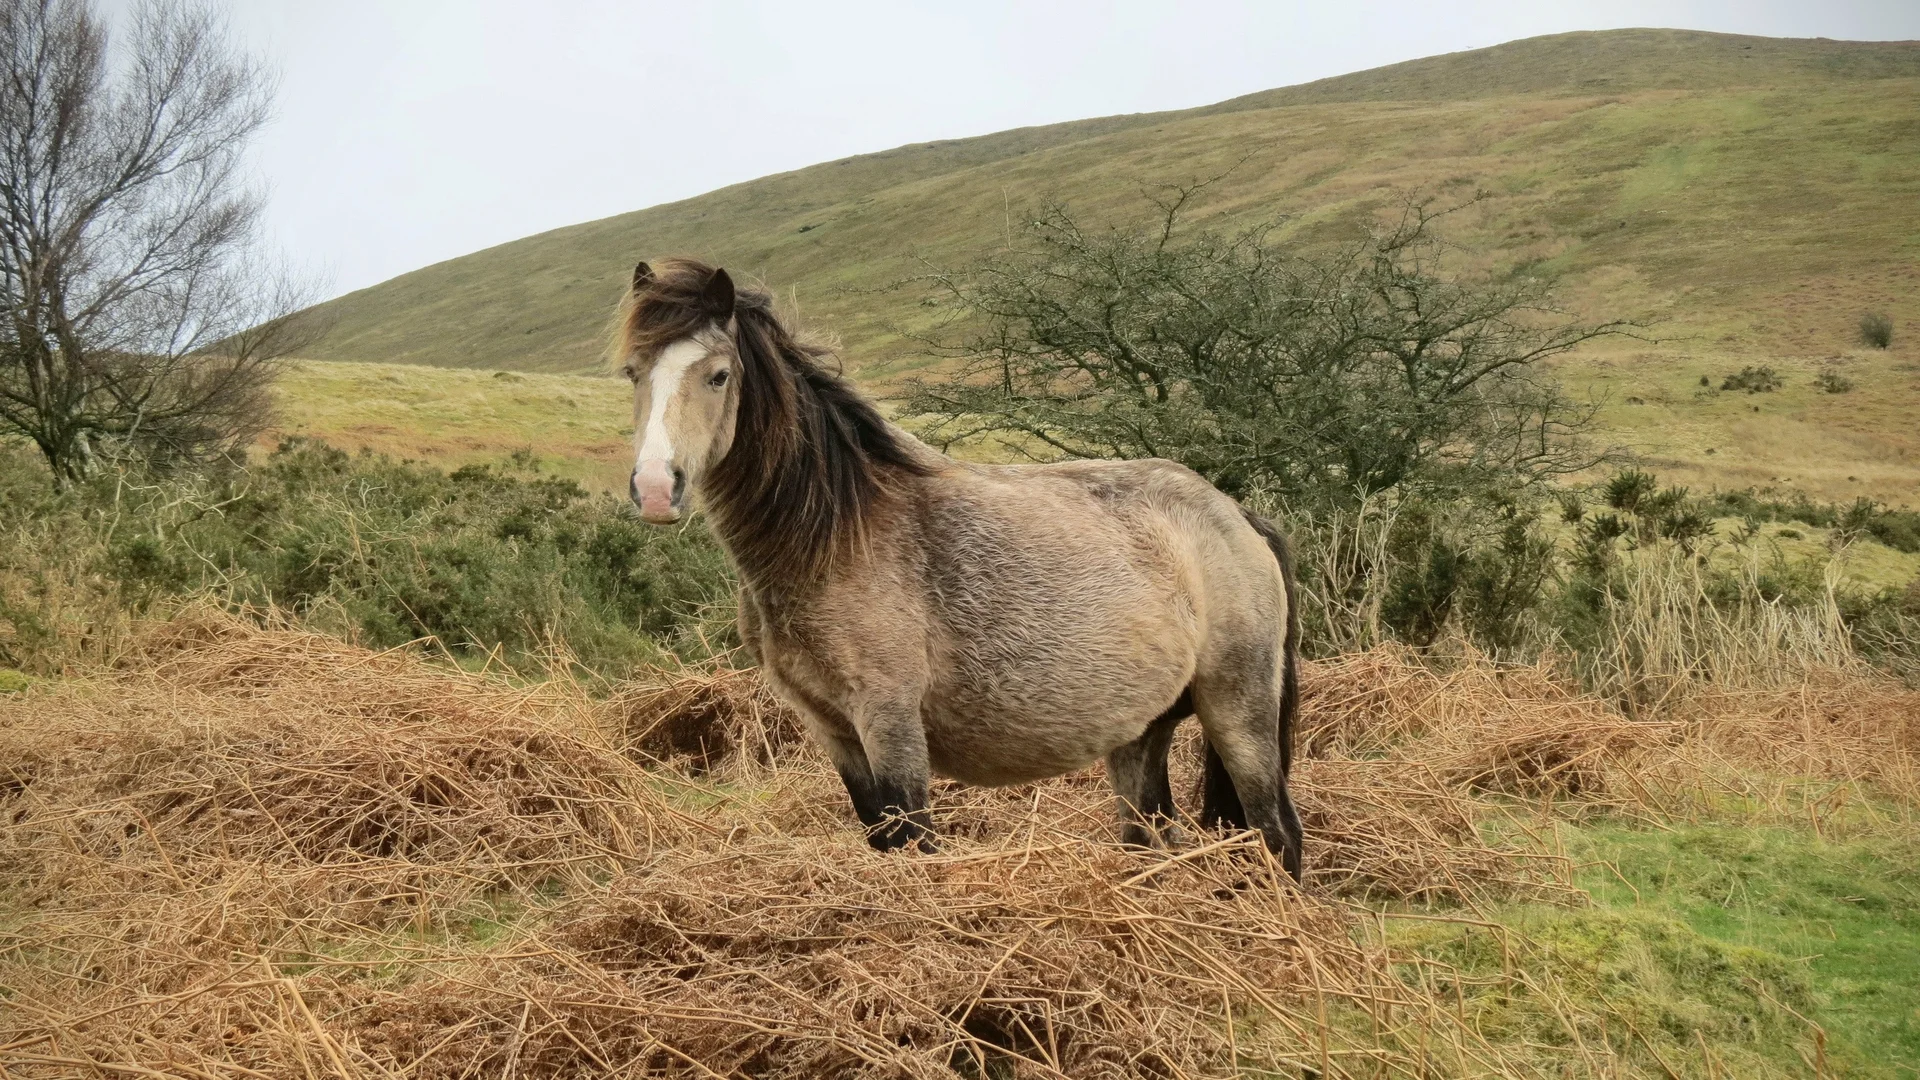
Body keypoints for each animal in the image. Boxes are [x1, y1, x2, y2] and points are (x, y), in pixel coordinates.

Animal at [614, 258, 1307, 879]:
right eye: (633, 374)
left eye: (718, 375)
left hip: (1237, 710)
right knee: (1152, 839)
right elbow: (883, 843)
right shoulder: (834, 732)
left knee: (1277, 832)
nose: (655, 490)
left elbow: (916, 847)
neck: (837, 535)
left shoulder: (889, 722)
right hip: (1141, 732)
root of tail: (1235, 514)